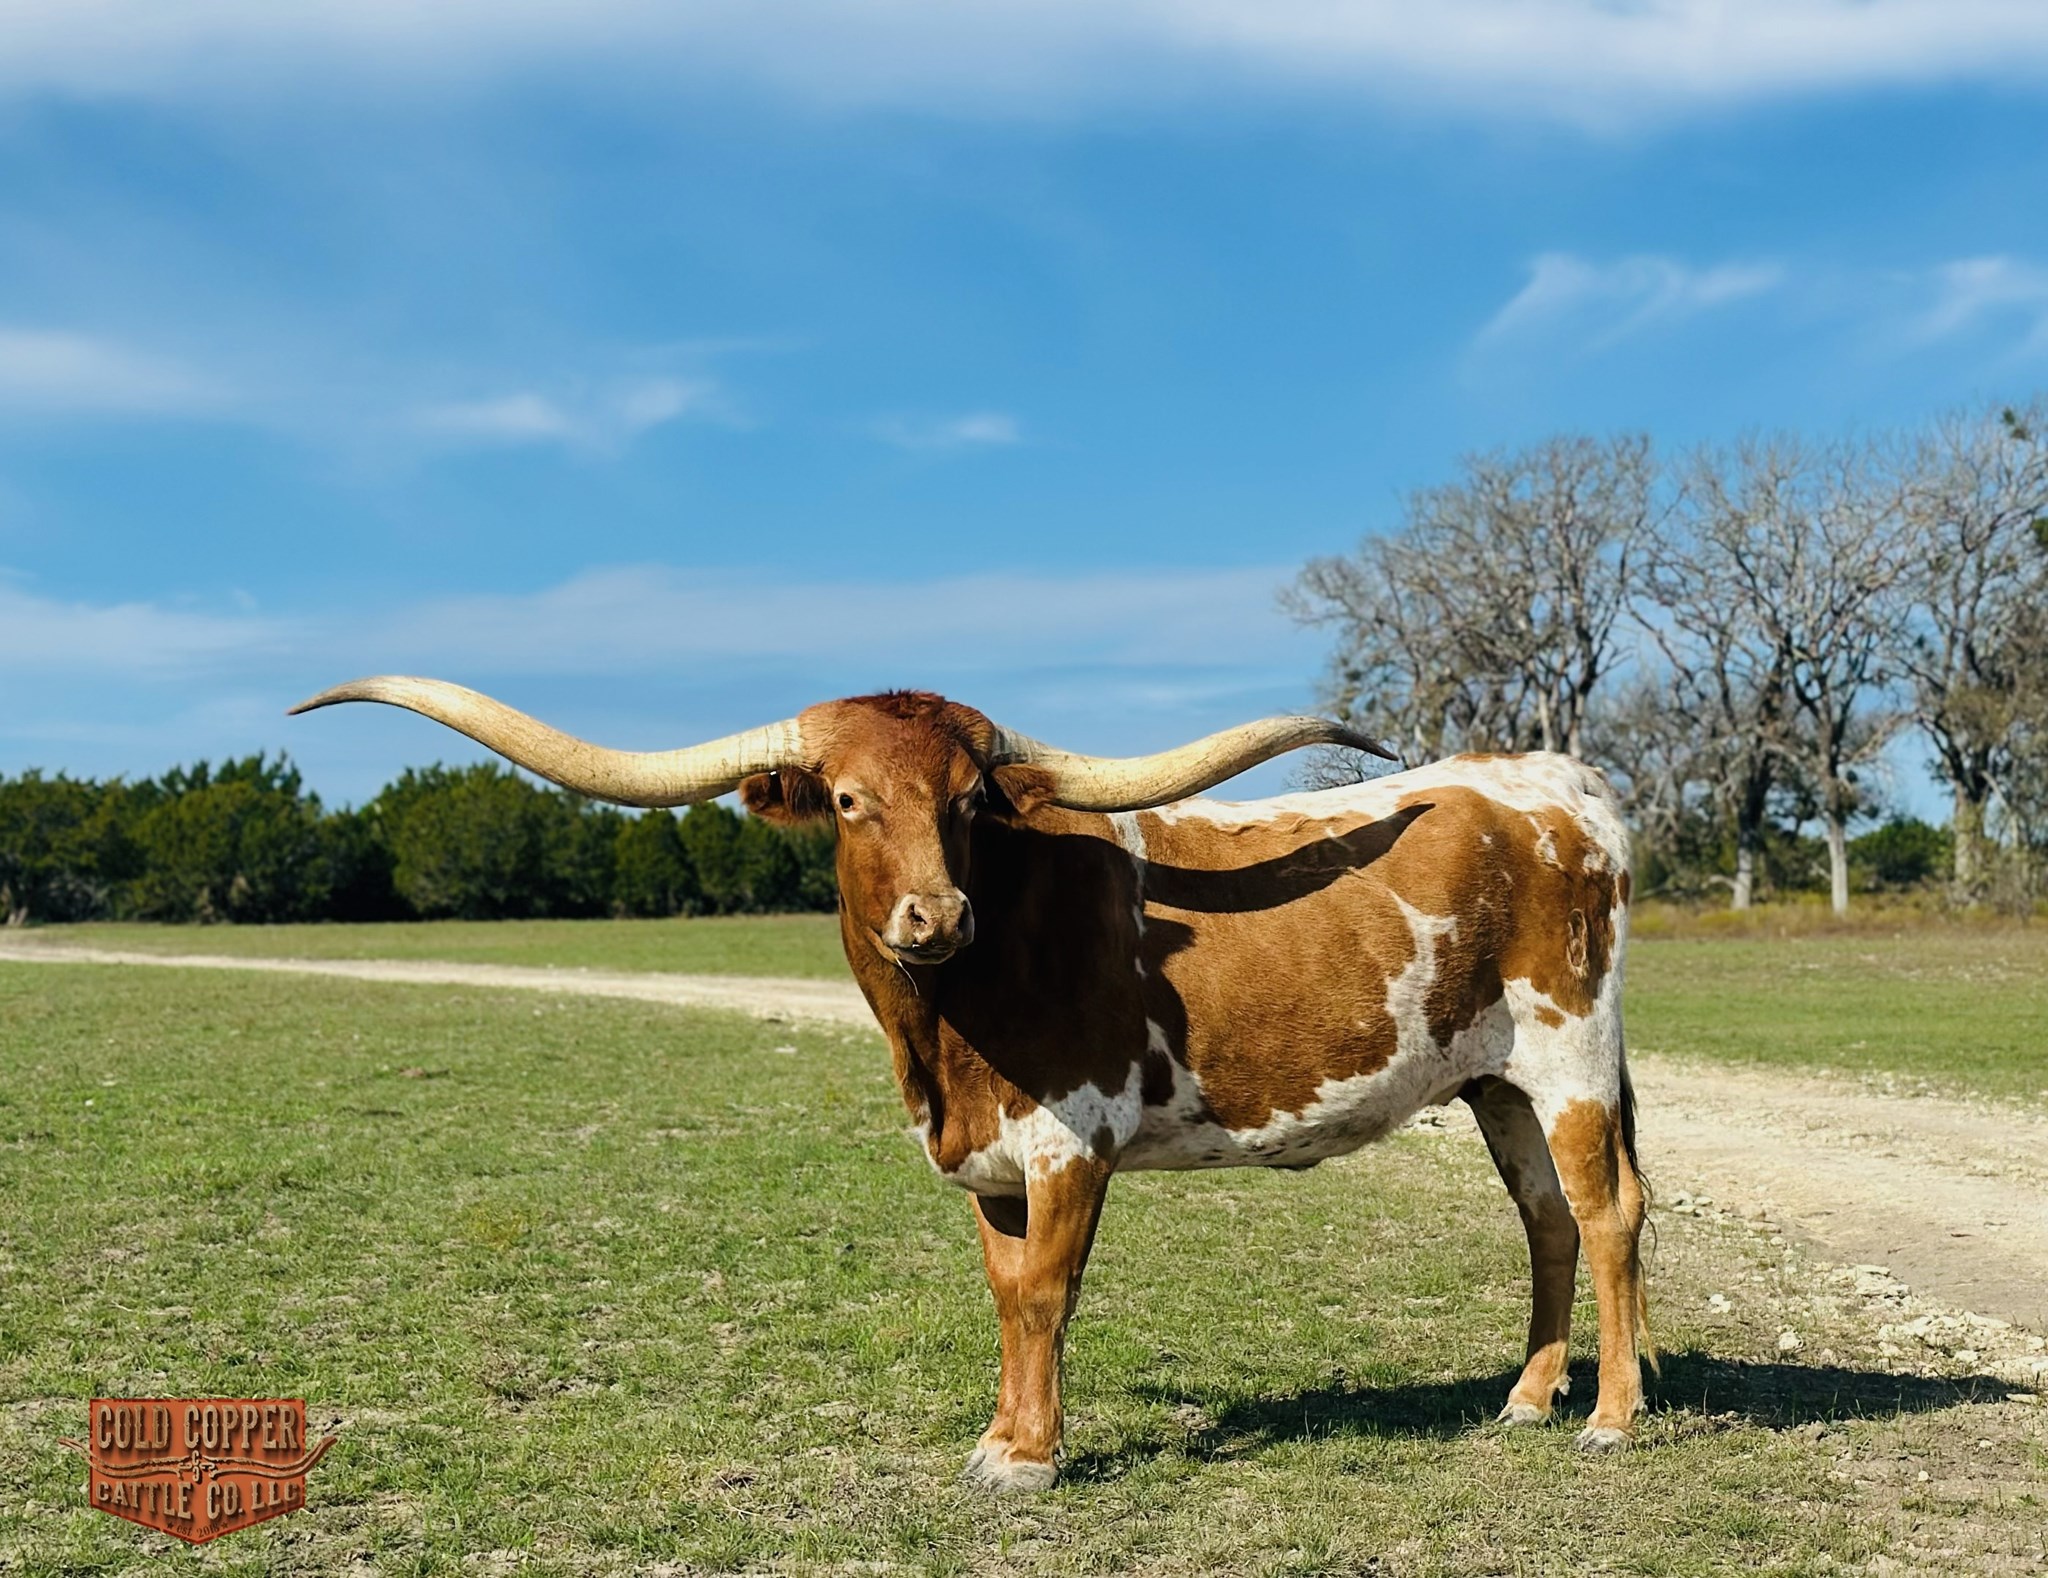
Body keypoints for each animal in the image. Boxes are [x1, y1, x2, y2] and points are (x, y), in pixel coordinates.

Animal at [293, 677, 1654, 1489]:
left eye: (963, 806)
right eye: (847, 800)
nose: (933, 915)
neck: (947, 1031)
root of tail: (1556, 781)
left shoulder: (1070, 1141)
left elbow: (1047, 1294)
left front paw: (1031, 1461)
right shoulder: (986, 1161)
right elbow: (1004, 1296)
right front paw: (999, 1432)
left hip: (1569, 1054)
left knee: (1606, 1216)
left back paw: (1610, 1415)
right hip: (1493, 1080)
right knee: (1542, 1218)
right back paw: (1526, 1399)